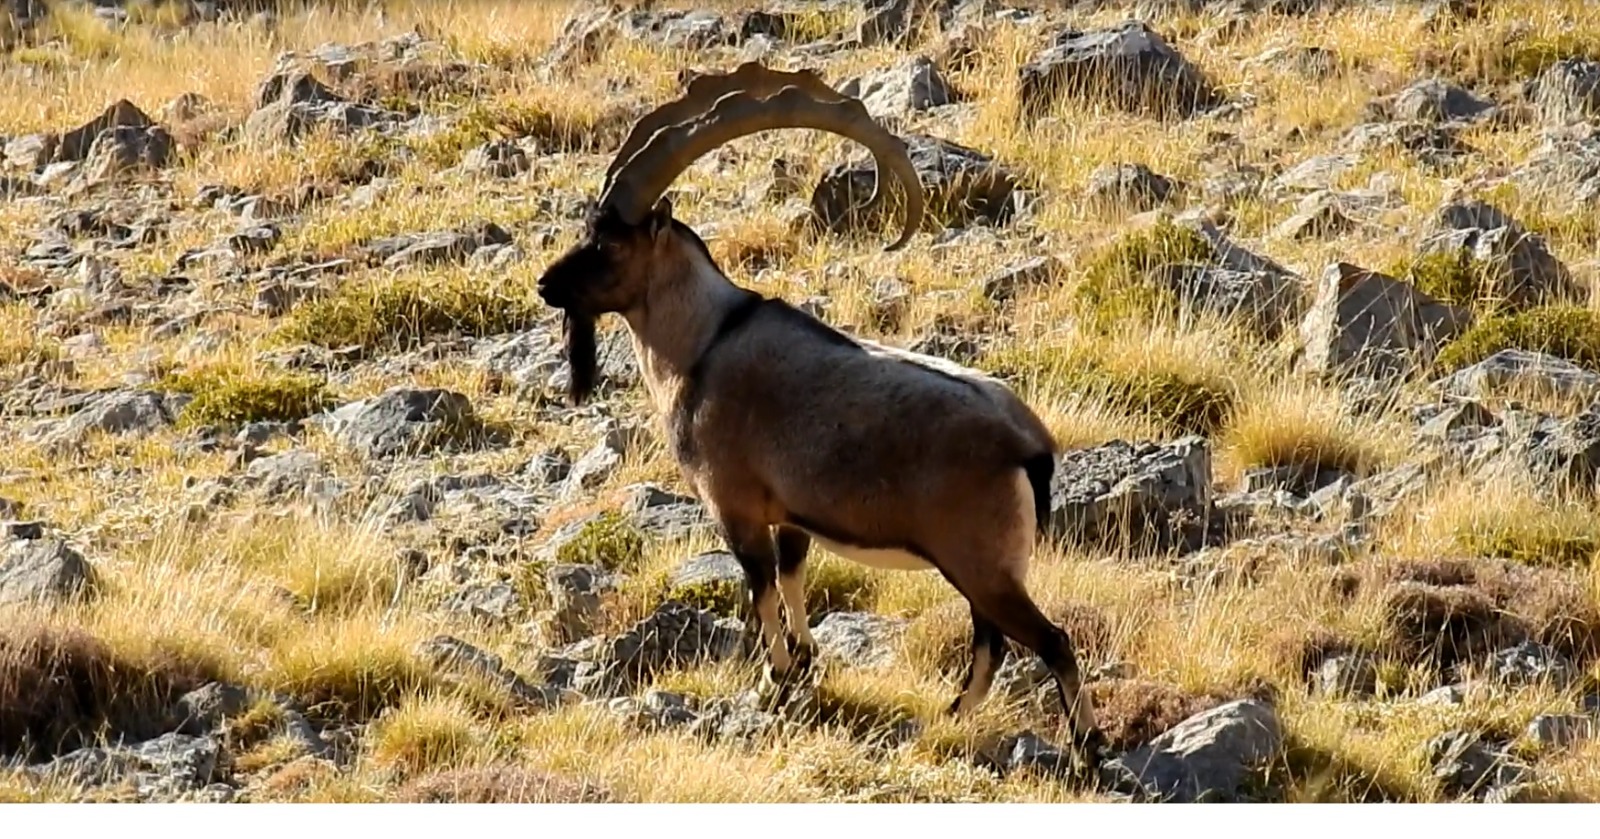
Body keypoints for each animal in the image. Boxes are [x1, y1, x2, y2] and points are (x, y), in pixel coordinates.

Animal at [531, 62, 1107, 762]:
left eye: (608, 244)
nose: (546, 284)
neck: (705, 340)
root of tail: (1031, 448)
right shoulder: (791, 516)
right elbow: (793, 577)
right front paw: (804, 663)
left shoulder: (735, 505)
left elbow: (760, 590)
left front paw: (772, 681)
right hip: (987, 569)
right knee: (990, 643)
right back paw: (944, 721)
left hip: (980, 562)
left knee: (1047, 640)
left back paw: (1087, 745)